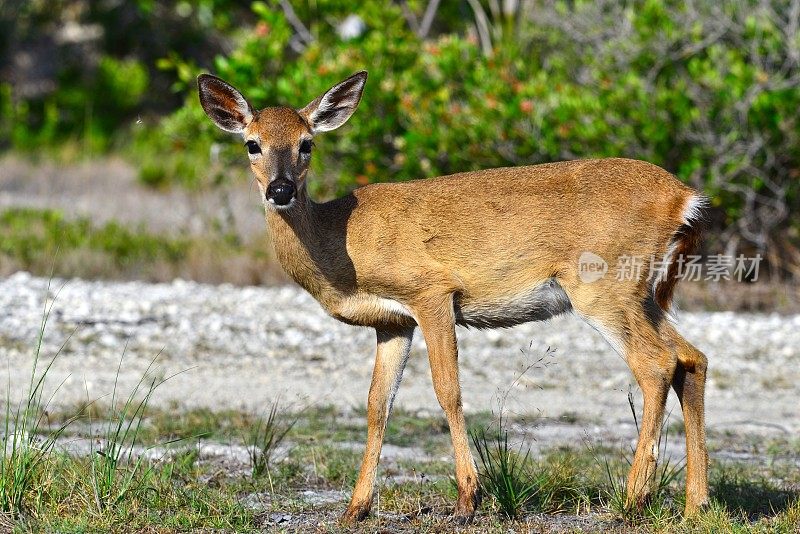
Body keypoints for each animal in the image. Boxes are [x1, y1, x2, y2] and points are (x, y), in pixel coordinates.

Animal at [197, 69, 708, 524]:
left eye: (307, 143)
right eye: (252, 143)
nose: (280, 190)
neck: (342, 246)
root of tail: (685, 199)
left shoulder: (432, 292)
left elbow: (448, 390)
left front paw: (467, 501)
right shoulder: (393, 321)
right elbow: (377, 404)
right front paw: (354, 509)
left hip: (604, 286)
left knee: (656, 364)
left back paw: (634, 499)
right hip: (645, 295)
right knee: (691, 358)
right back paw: (694, 505)